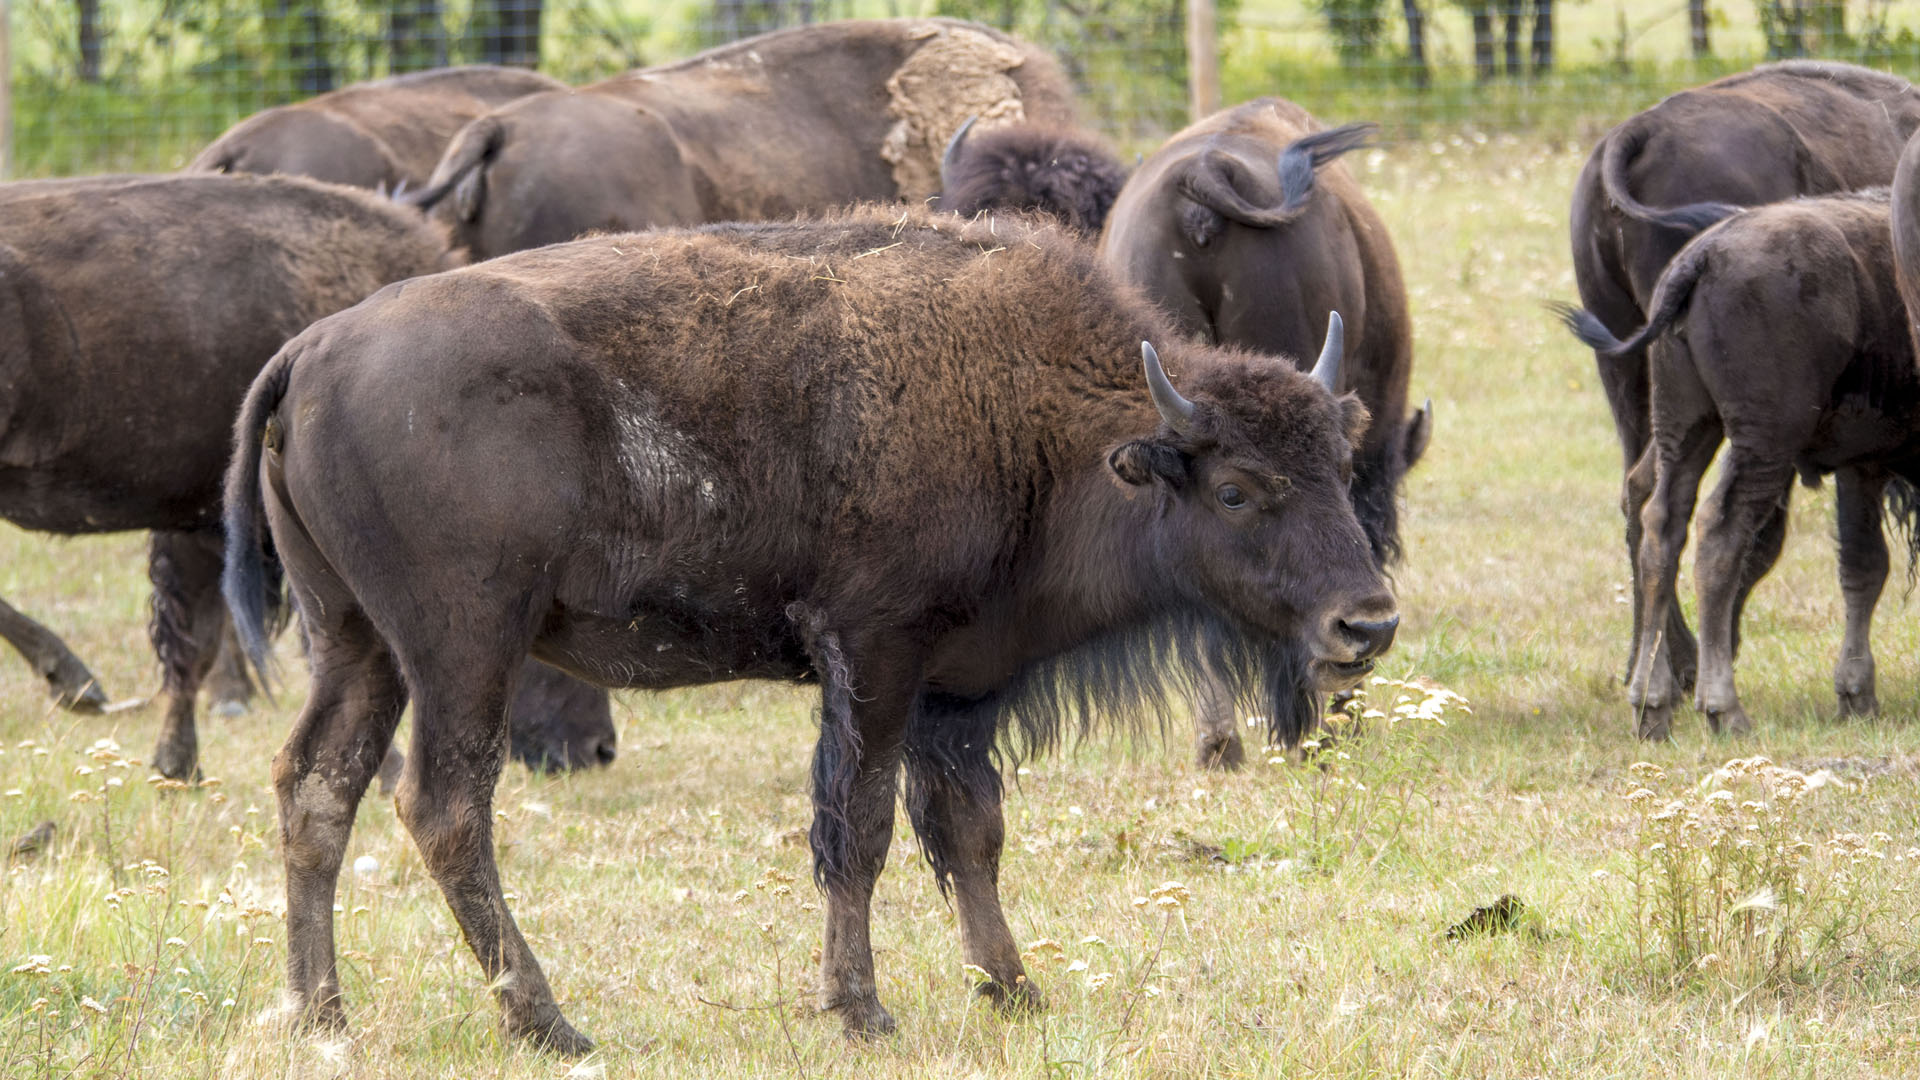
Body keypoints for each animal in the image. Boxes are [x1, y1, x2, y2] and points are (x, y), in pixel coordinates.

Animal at [222, 207, 1398, 1051]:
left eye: (1340, 465)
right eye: (1237, 490)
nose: (1367, 621)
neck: (1048, 424)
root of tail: (309, 351)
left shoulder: (954, 687)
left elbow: (969, 831)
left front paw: (1014, 988)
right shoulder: (874, 655)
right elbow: (861, 829)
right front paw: (862, 1008)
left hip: (355, 643)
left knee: (316, 786)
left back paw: (320, 1015)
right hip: (463, 650)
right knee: (444, 805)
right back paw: (548, 1022)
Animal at [1569, 61, 1920, 697]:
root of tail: (1638, 132)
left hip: (1629, 367)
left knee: (1645, 493)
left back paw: (1653, 668)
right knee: (1723, 521)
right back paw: (1691, 668)